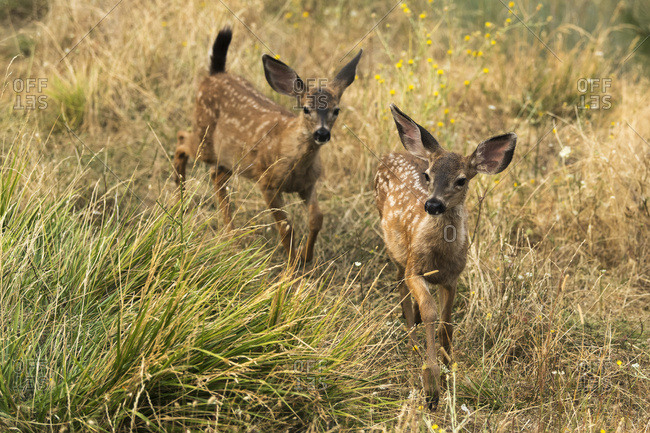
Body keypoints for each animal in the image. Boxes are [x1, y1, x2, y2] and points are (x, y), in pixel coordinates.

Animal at [173, 27, 362, 262]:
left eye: (336, 110)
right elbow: (286, 227)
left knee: (216, 175)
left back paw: (231, 237)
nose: (322, 133)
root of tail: (214, 74)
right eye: (306, 109)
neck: (295, 161)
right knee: (181, 139)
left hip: (231, 158)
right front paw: (293, 264)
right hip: (205, 139)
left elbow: (317, 219)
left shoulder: (308, 183)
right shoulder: (267, 182)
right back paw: (179, 198)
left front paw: (306, 257)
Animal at [374, 104, 516, 409]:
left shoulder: (453, 277)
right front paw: (431, 384)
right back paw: (411, 338)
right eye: (428, 175)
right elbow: (430, 311)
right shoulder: (415, 268)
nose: (433, 204)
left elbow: (447, 321)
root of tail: (392, 153)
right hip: (395, 249)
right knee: (400, 285)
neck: (439, 256)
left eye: (461, 180)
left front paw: (451, 367)